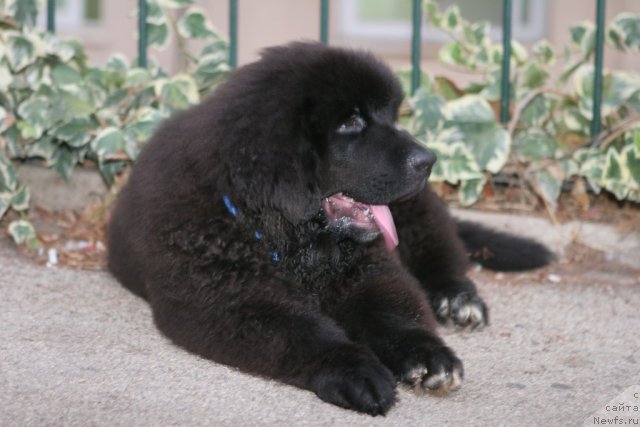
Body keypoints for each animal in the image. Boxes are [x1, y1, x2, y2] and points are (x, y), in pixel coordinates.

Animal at [107, 41, 552, 416]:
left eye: (389, 116)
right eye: (350, 122)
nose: (429, 160)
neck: (284, 235)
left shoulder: (369, 270)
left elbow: (393, 312)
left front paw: (426, 354)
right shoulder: (230, 298)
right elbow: (299, 332)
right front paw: (354, 371)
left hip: (414, 210)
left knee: (441, 247)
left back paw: (457, 299)